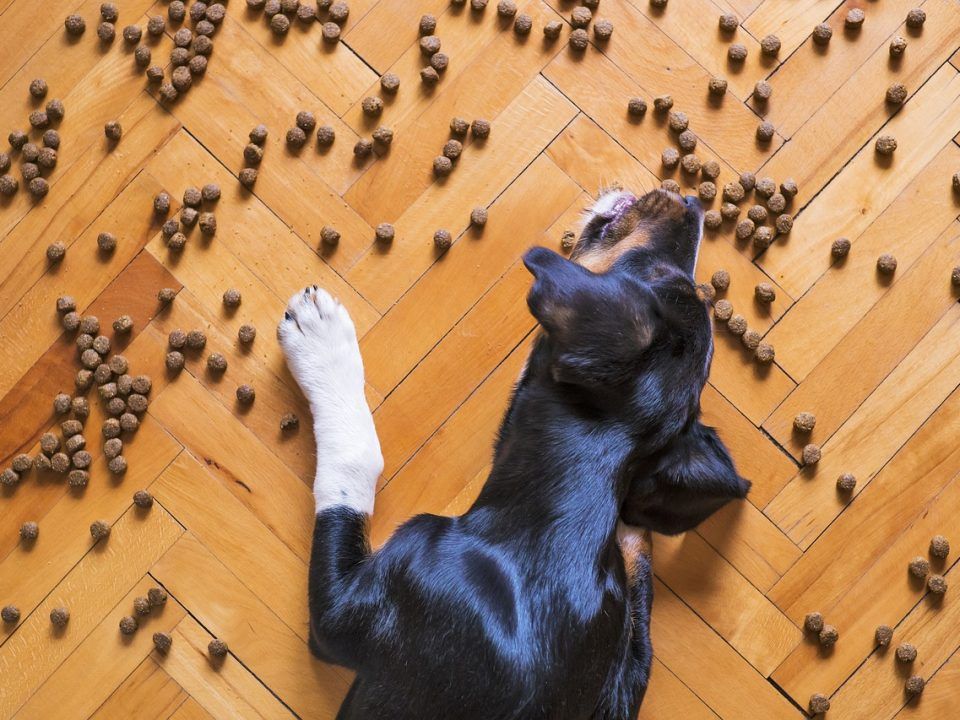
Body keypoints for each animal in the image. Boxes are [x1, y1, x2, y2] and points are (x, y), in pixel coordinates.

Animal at [278, 188, 752, 716]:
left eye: (653, 275)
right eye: (675, 279)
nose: (690, 202)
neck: (551, 522)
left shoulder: (342, 614)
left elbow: (354, 464)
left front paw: (321, 341)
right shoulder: (624, 664)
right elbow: (636, 595)